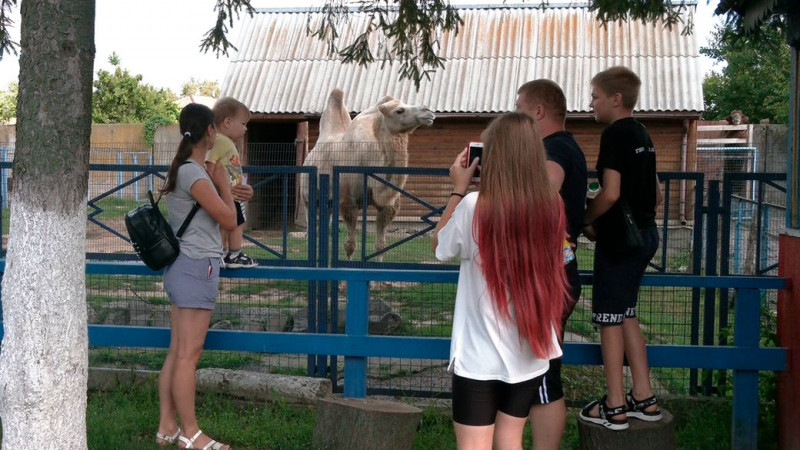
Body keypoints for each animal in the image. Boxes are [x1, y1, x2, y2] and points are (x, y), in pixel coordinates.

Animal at [298, 87, 438, 258]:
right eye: (399, 110)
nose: (428, 111)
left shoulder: (386, 207)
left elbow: (381, 245)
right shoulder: (349, 202)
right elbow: (350, 245)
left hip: (329, 201)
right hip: (307, 196)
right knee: (310, 225)